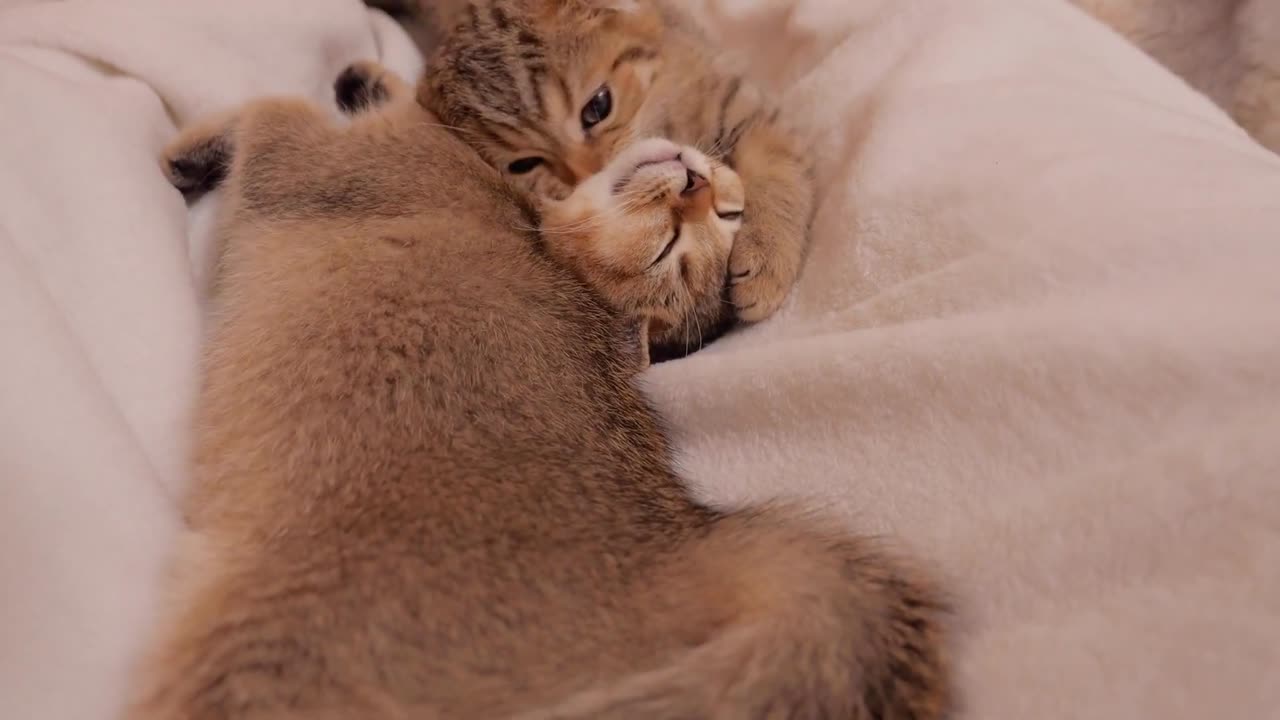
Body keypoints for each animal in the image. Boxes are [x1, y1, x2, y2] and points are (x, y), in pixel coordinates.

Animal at [127, 63, 952, 717]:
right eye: (724, 212)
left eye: (676, 246)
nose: (696, 177)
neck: (525, 213)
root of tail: (687, 545)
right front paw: (371, 77)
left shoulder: (309, 159)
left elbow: (272, 109)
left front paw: (190, 147)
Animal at [424, 0, 814, 356]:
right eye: (524, 165)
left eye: (598, 107)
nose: (591, 174)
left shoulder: (740, 105)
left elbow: (777, 173)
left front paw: (767, 260)